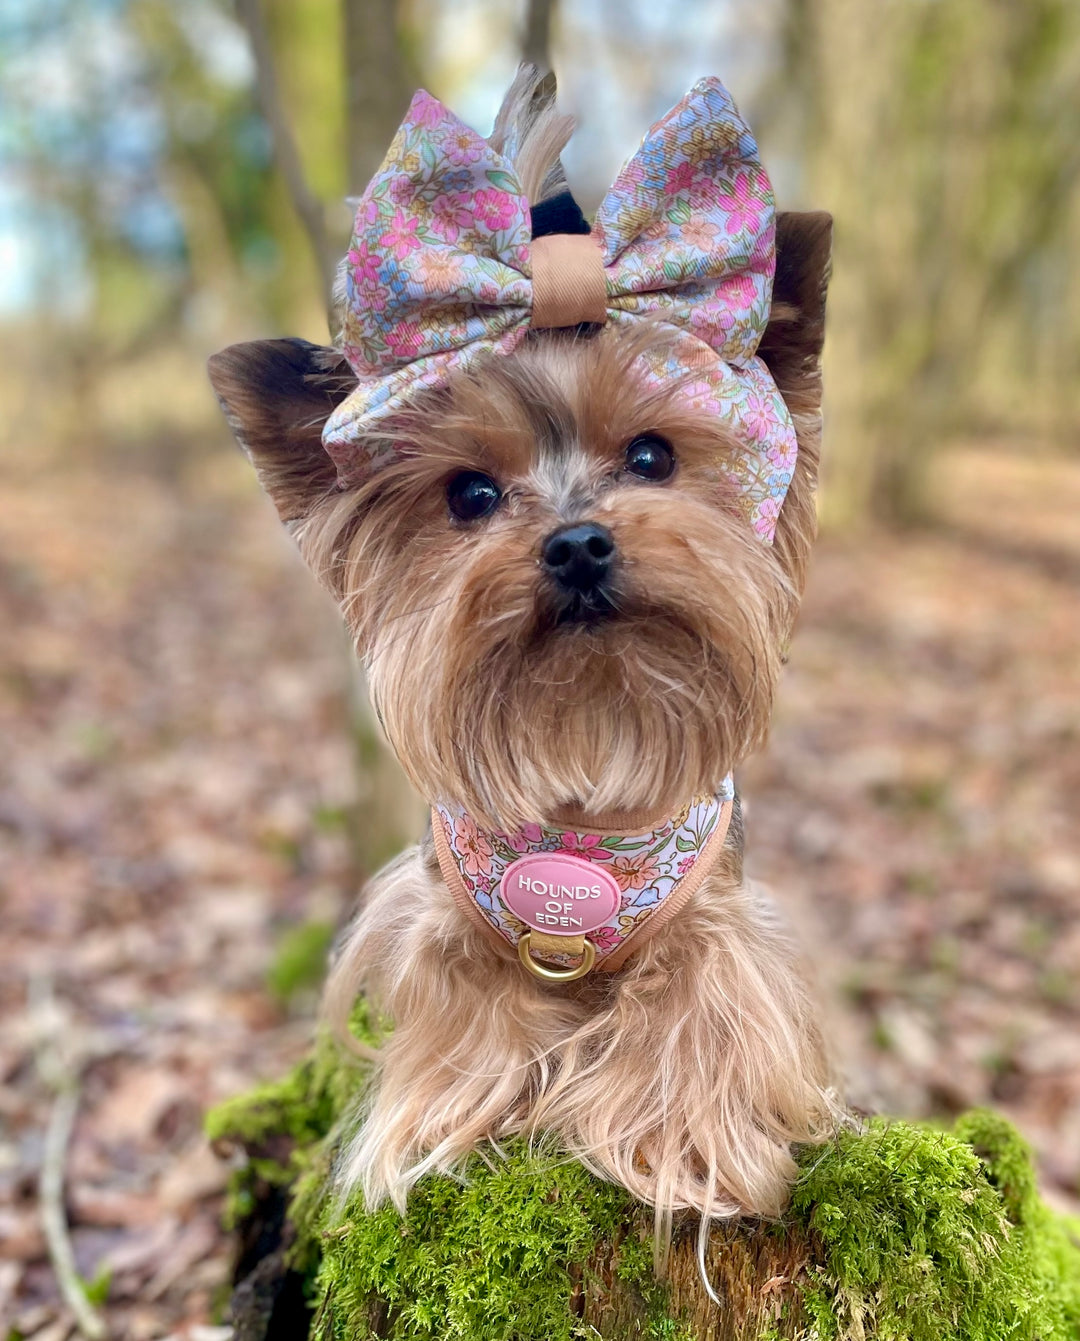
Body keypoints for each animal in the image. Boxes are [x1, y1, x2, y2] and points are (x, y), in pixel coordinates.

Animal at [207, 65, 831, 1255]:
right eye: (469, 494)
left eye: (652, 455)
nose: (579, 542)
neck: (585, 737)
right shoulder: (434, 919)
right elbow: (464, 1010)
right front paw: (448, 1117)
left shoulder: (724, 923)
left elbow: (699, 1001)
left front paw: (681, 1140)